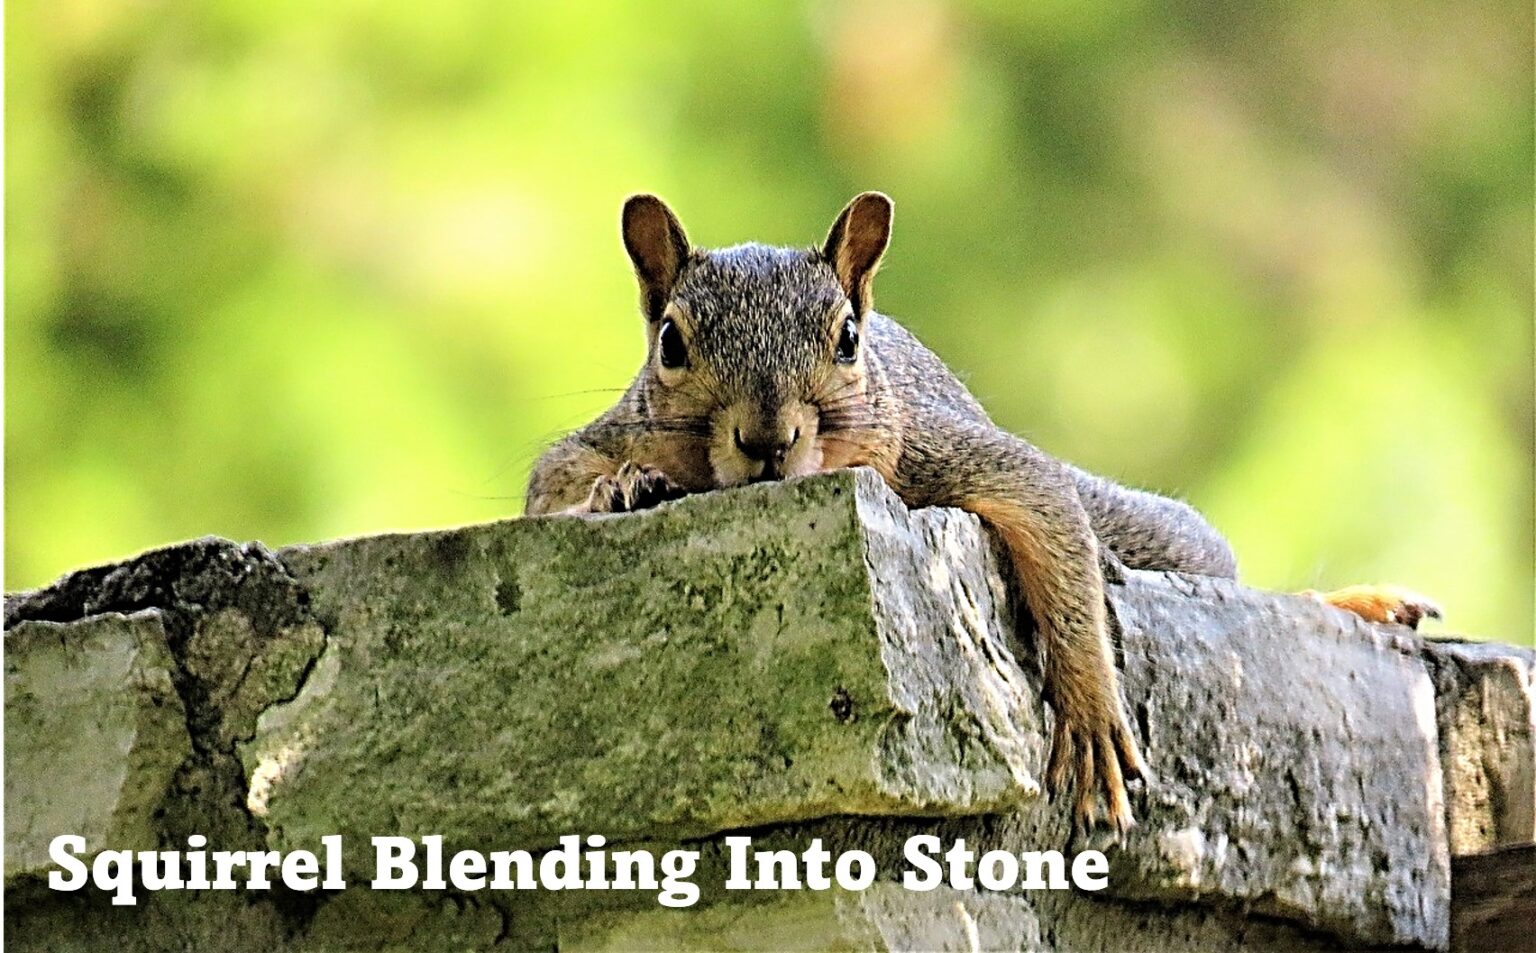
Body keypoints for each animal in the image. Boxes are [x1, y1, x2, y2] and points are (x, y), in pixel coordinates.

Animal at [525, 192, 1443, 832]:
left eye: (848, 337)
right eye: (672, 343)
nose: (767, 440)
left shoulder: (937, 451)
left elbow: (1048, 515)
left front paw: (1092, 713)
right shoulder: (602, 435)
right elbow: (552, 485)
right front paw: (623, 488)